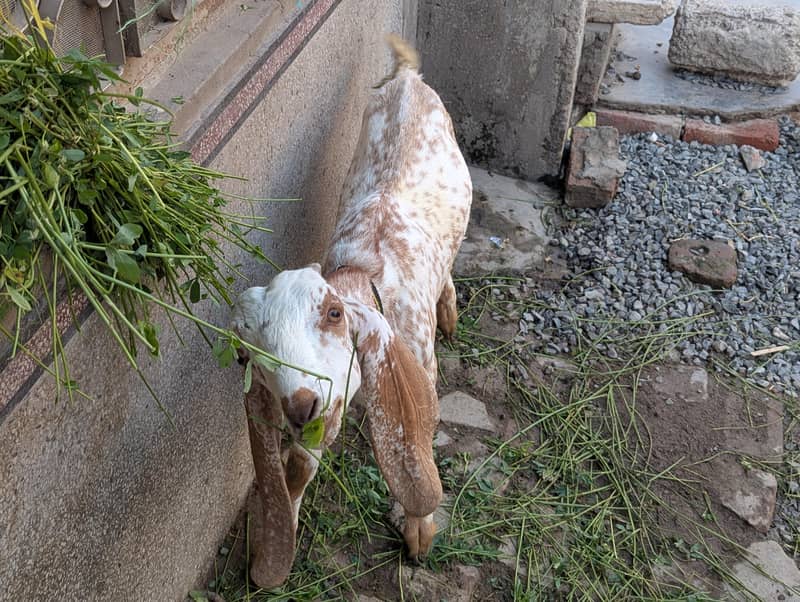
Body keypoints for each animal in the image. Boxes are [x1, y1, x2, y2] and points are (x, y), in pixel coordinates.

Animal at [231, 34, 472, 588]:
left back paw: (450, 309)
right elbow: (299, 465)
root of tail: (405, 79)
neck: (365, 272)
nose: (301, 405)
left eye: (334, 315)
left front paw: (419, 529)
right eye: (246, 352)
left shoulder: (421, 362)